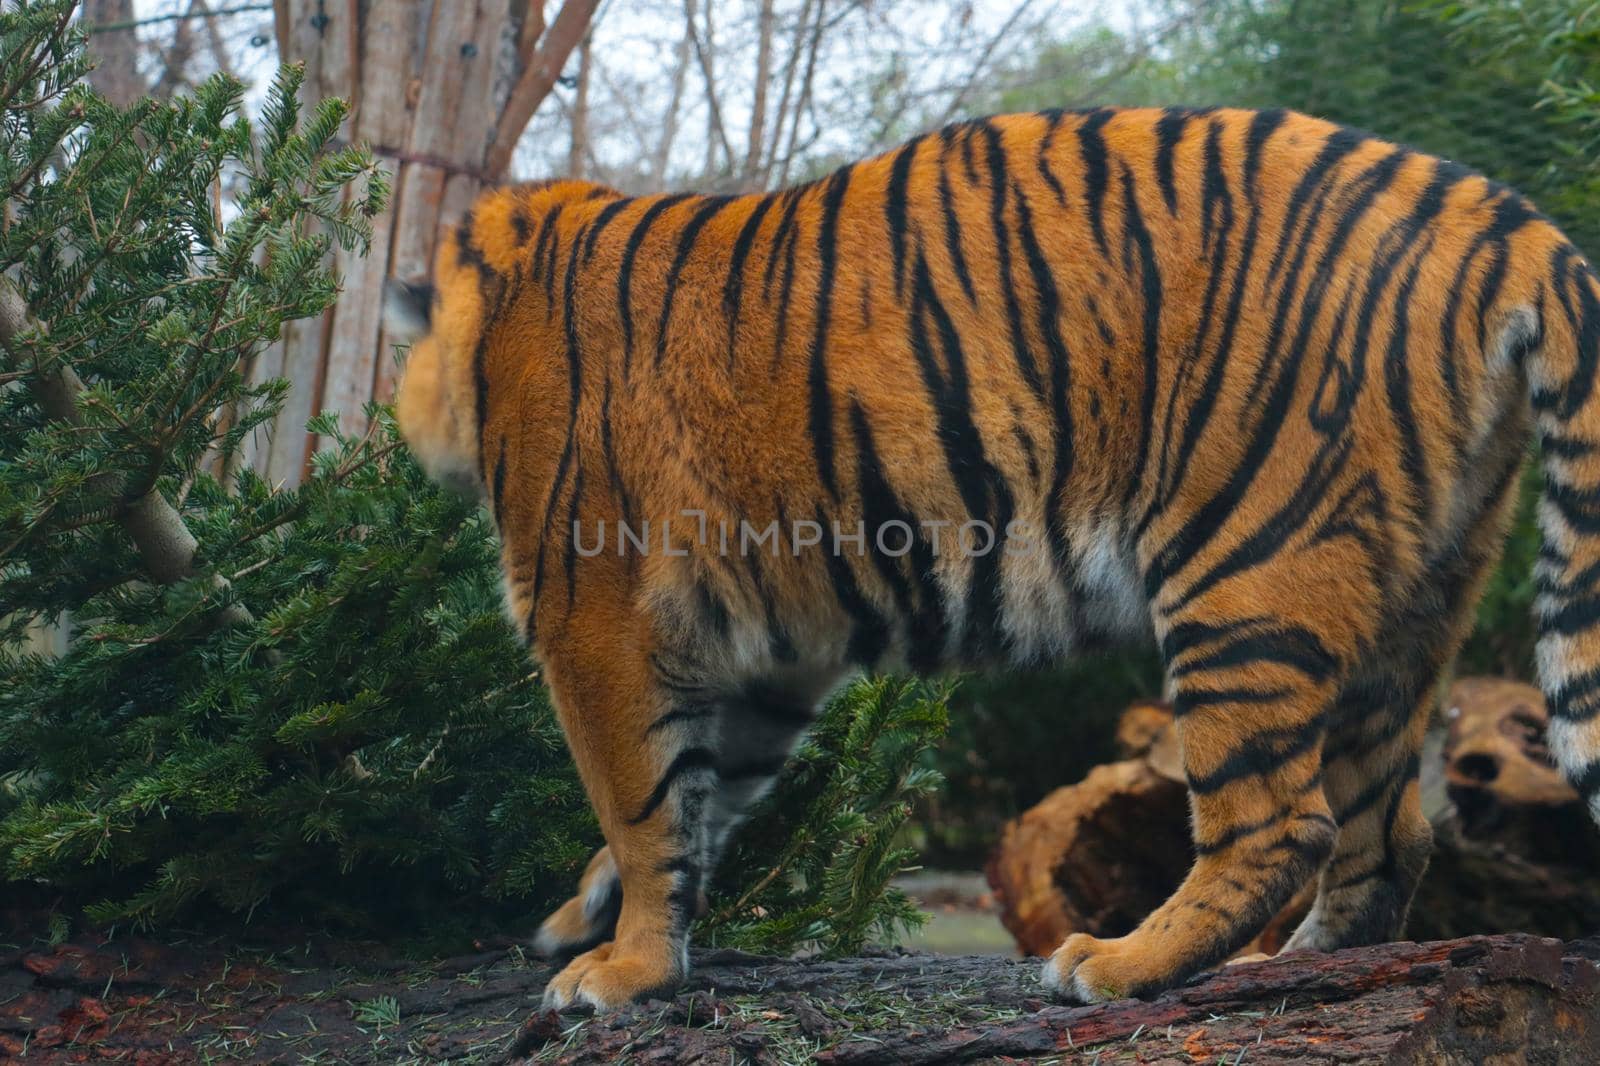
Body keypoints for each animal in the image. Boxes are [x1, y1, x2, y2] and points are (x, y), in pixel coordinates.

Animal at [384, 104, 1600, 1011]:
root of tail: (1497, 215)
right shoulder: (768, 657)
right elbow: (704, 793)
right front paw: (591, 918)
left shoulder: (591, 615)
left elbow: (640, 806)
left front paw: (622, 970)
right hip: (1412, 598)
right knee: (1391, 827)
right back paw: (1306, 969)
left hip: (1248, 566)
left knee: (1279, 821)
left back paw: (1118, 965)